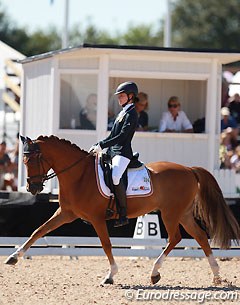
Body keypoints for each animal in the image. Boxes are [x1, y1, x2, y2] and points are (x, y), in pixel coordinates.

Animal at [4, 134, 240, 284]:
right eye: (23, 160)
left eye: (33, 159)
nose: (32, 188)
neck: (79, 175)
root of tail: (189, 169)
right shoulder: (65, 214)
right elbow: (39, 231)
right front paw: (14, 257)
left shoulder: (97, 219)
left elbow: (107, 245)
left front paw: (110, 276)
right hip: (183, 213)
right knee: (199, 236)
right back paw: (216, 275)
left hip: (170, 213)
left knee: (175, 238)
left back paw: (154, 273)